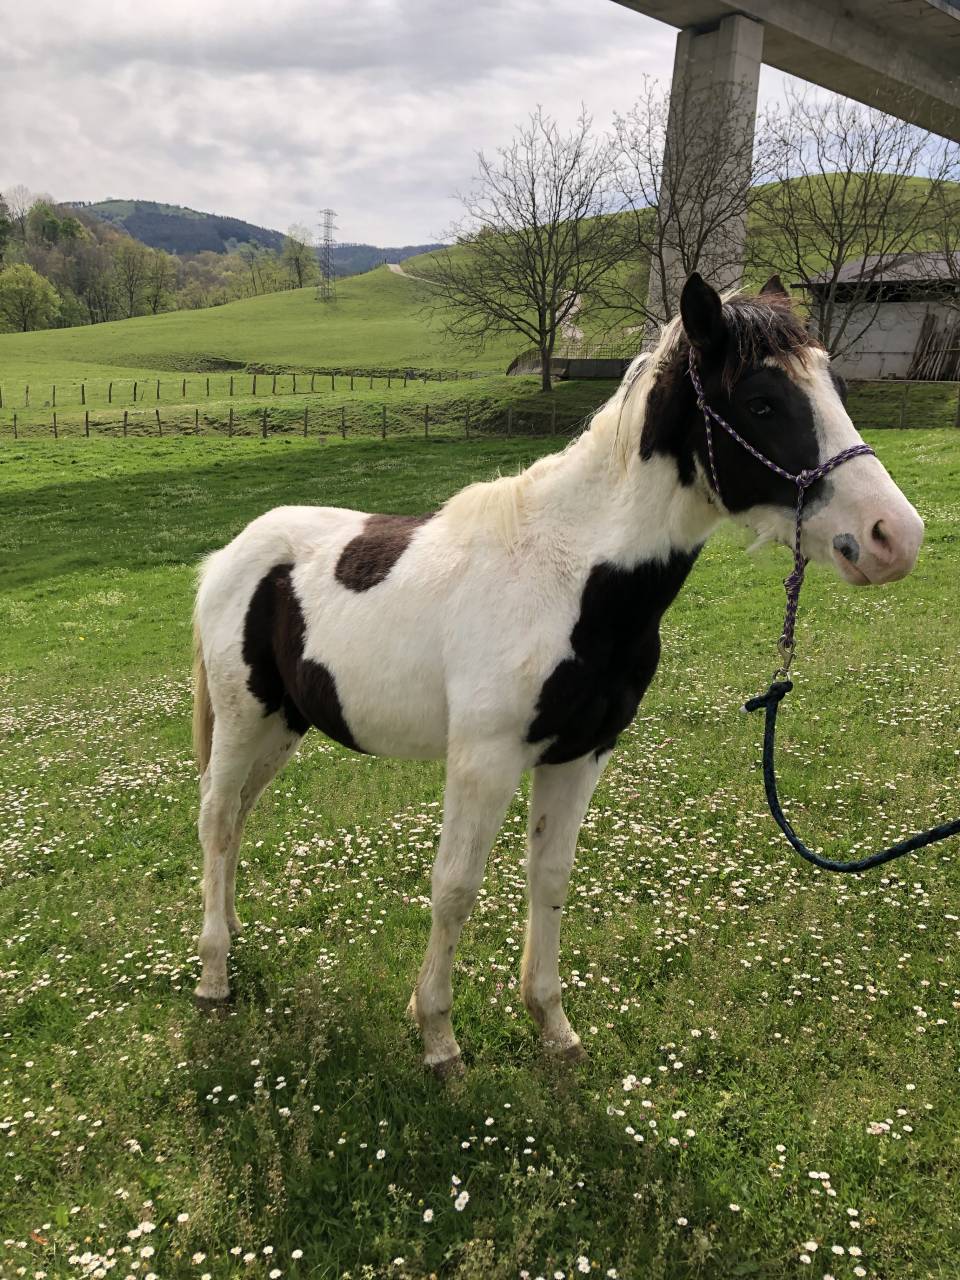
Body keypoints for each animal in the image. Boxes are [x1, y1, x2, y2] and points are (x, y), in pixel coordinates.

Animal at [191, 273, 924, 1075]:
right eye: (761, 402)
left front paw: (551, 1023)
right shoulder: (483, 760)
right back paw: (214, 972)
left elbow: (550, 876)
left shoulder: (581, 753)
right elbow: (455, 887)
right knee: (217, 818)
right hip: (242, 720)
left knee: (238, 818)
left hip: (284, 725)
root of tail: (228, 557)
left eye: (835, 385)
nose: (895, 537)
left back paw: (231, 933)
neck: (570, 577)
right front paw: (438, 1036)